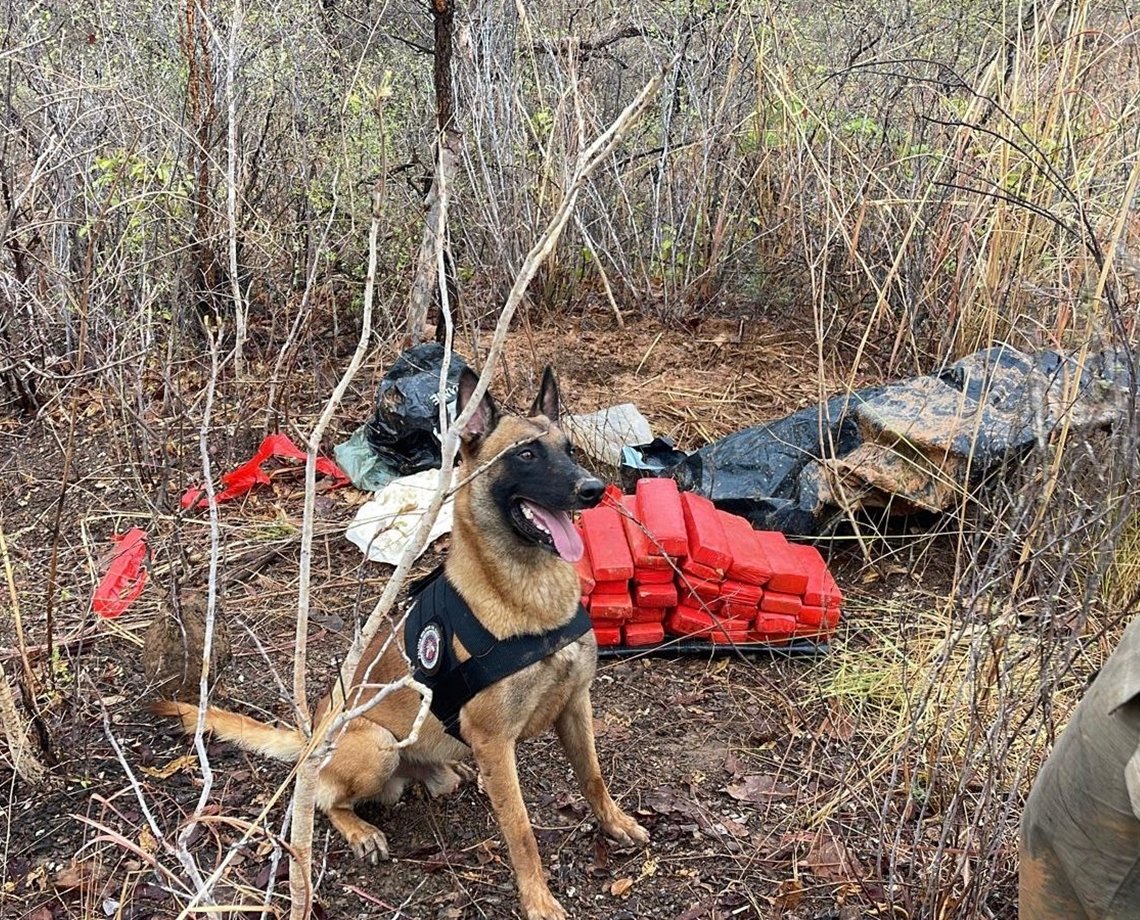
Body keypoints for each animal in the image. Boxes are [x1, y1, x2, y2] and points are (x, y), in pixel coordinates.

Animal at [152, 362, 652, 920]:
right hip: (376, 746)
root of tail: (313, 737)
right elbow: (521, 831)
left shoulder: (575, 705)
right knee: (323, 799)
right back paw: (359, 830)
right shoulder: (496, 742)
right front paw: (538, 900)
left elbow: (593, 777)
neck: (530, 597)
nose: (595, 489)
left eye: (567, 449)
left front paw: (615, 823)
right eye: (525, 454)